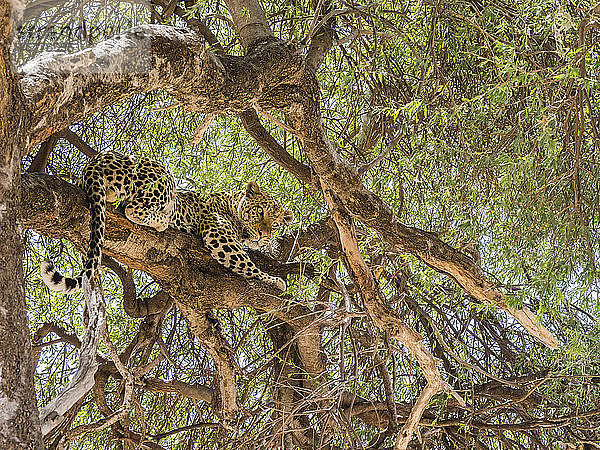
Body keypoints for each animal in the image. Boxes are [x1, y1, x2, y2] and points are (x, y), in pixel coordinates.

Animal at [41, 150, 294, 296]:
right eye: (259, 212)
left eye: (276, 224)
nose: (263, 236)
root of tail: (94, 162)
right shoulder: (218, 235)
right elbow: (247, 264)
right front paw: (274, 281)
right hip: (163, 177)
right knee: (132, 209)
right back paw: (163, 220)